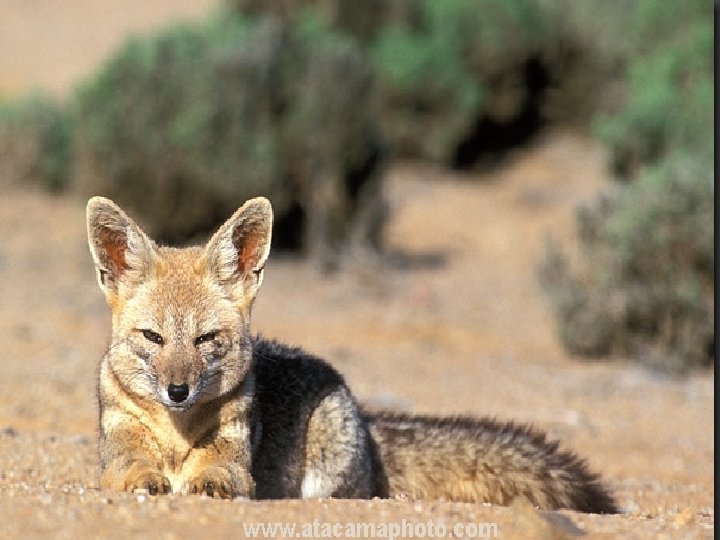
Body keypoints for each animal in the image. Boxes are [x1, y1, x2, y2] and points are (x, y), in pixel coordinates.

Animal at [86, 195, 617, 513]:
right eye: (153, 337)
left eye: (205, 339)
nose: (177, 391)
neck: (176, 435)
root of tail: (363, 412)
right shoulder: (117, 456)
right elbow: (129, 468)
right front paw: (149, 478)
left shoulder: (237, 464)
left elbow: (221, 474)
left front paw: (207, 485)